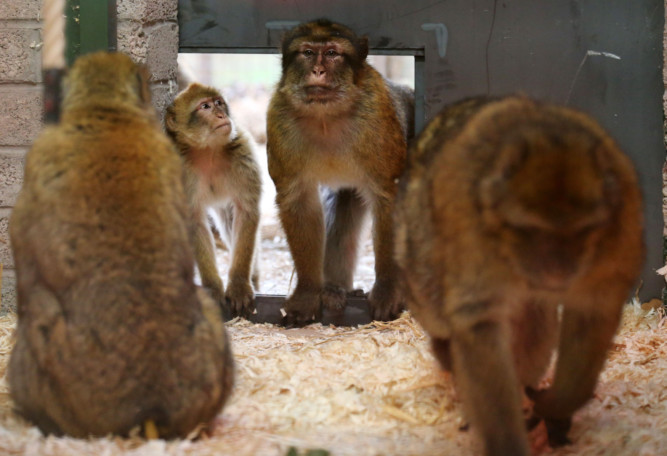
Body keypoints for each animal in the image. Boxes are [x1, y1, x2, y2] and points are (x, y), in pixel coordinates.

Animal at [166, 82, 262, 318]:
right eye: (205, 106)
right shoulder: (182, 169)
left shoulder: (243, 153)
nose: (221, 115)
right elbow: (194, 221)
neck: (208, 151)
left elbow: (246, 212)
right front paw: (211, 287)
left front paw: (238, 286)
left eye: (218, 103)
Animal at [268, 18, 414, 324]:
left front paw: (387, 288)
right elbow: (299, 202)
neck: (326, 117)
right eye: (308, 53)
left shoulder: (377, 114)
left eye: (333, 53)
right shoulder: (278, 117)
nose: (318, 71)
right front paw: (308, 291)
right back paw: (336, 289)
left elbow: (388, 196)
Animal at [396, 96, 648, 456]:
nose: (558, 270)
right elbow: (478, 321)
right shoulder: (471, 233)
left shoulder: (617, 230)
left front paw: (557, 406)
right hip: (416, 245)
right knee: (436, 308)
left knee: (533, 321)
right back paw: (446, 353)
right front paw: (507, 443)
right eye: (531, 229)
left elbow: (593, 308)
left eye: (583, 230)